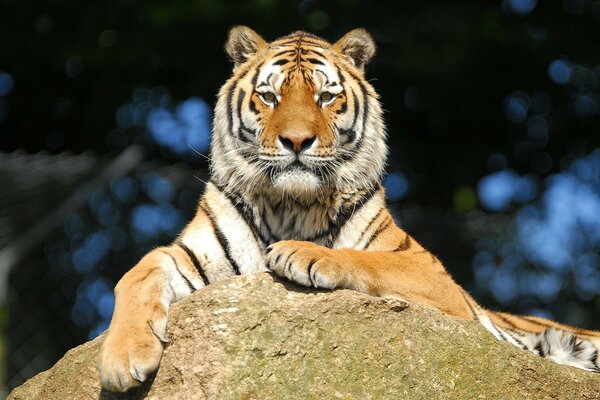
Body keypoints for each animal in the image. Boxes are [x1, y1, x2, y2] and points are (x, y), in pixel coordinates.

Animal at [98, 26, 600, 392]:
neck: (290, 205)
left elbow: (365, 258)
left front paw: (302, 253)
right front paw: (122, 361)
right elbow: (136, 272)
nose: (297, 141)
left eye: (325, 96)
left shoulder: (431, 274)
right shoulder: (192, 257)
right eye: (269, 96)